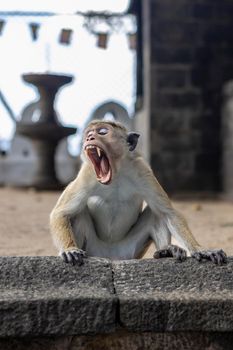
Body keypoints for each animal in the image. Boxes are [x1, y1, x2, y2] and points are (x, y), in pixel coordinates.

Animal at [49, 119, 228, 266]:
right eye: (88, 134)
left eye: (102, 132)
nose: (89, 139)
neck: (117, 173)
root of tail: (112, 258)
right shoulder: (87, 174)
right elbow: (61, 213)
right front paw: (70, 249)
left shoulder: (142, 171)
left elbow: (168, 213)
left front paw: (200, 249)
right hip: (94, 248)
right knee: (77, 213)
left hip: (130, 252)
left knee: (156, 214)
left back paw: (166, 251)